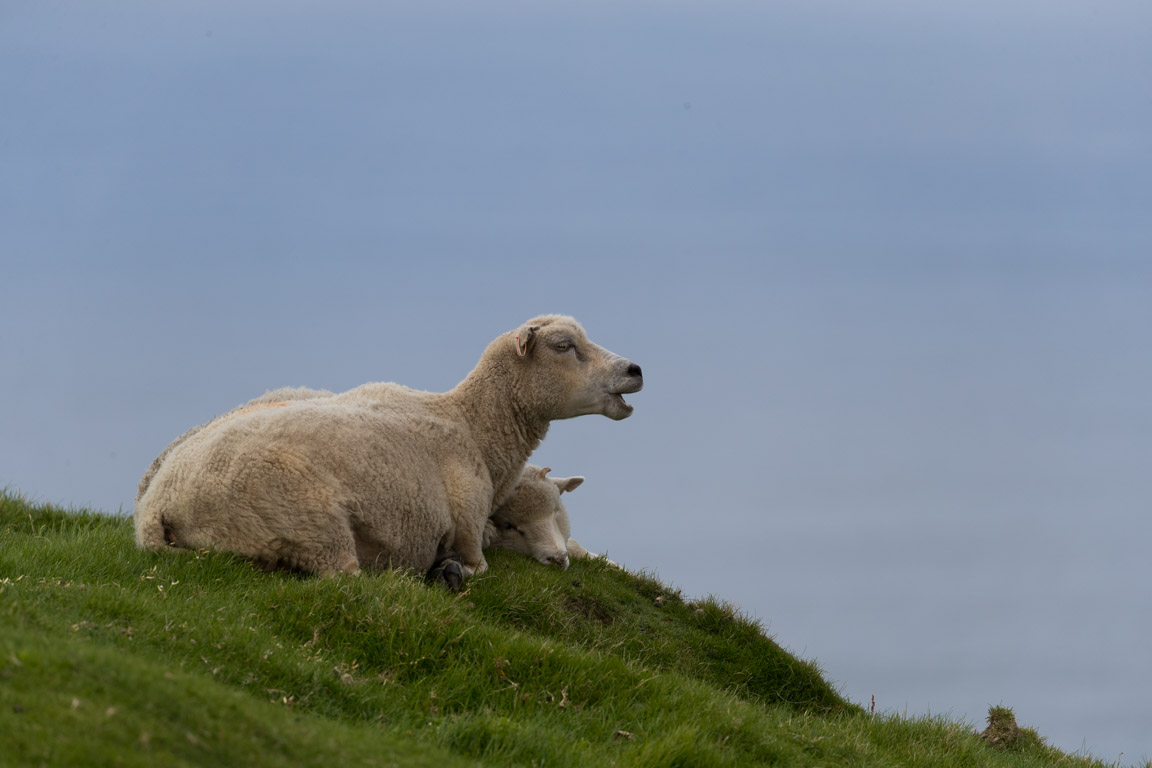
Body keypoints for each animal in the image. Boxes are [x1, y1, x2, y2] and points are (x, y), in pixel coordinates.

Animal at [134, 313, 645, 582]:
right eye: (563, 345)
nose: (635, 369)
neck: (472, 424)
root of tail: (158, 508)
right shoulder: (469, 519)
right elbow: (479, 564)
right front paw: (452, 568)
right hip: (306, 523)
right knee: (348, 576)